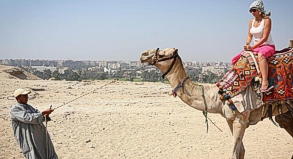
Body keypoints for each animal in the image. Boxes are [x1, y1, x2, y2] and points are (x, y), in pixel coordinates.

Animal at [140, 48, 292, 159]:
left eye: (161, 53)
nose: (143, 54)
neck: (218, 96)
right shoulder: (230, 120)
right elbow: (241, 151)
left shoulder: (241, 119)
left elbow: (234, 153)